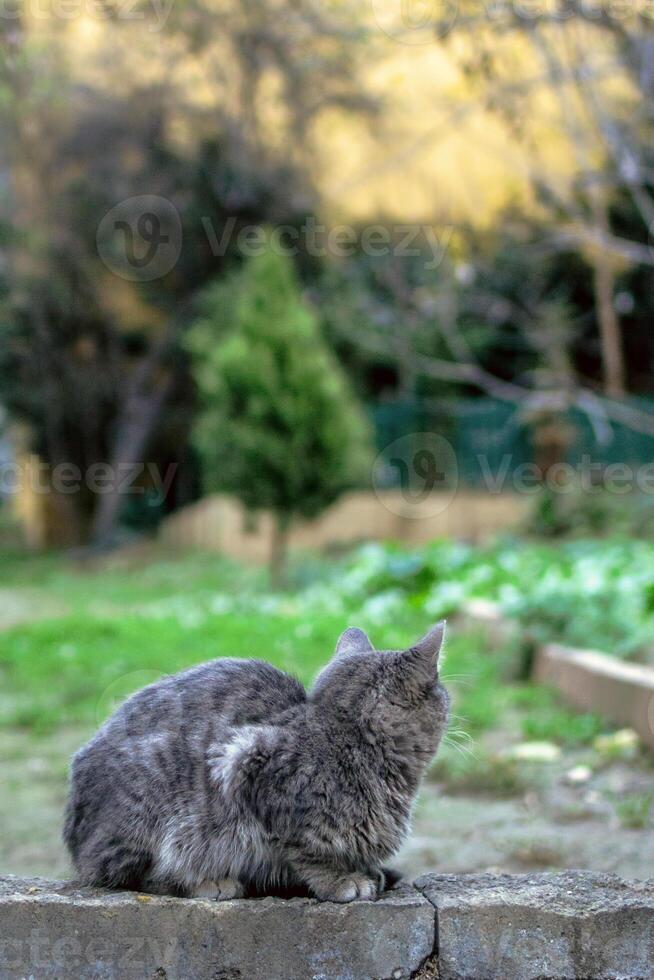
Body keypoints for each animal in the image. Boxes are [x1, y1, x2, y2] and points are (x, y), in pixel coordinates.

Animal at [64, 624, 452, 900]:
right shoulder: (244, 763)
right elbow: (304, 849)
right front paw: (340, 880)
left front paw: (370, 871)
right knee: (128, 876)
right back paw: (209, 883)